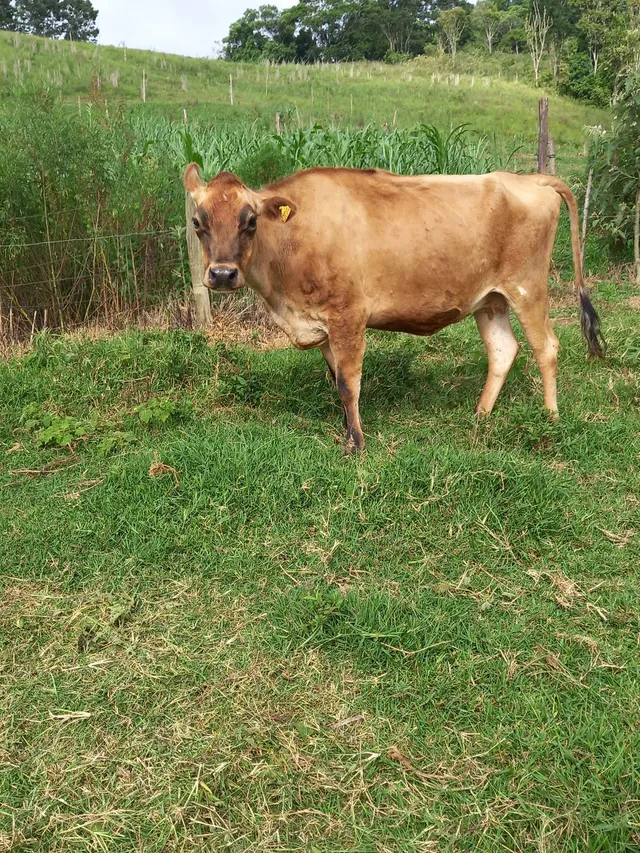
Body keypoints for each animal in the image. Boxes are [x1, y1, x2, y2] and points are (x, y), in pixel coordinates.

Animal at [184, 164, 604, 453]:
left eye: (251, 221)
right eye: (197, 222)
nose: (222, 274)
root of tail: (531, 179)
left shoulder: (348, 316)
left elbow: (348, 383)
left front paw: (356, 444)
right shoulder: (323, 326)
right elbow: (336, 379)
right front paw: (347, 429)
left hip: (527, 288)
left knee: (546, 348)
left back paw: (550, 417)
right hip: (490, 299)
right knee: (503, 350)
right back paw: (480, 415)